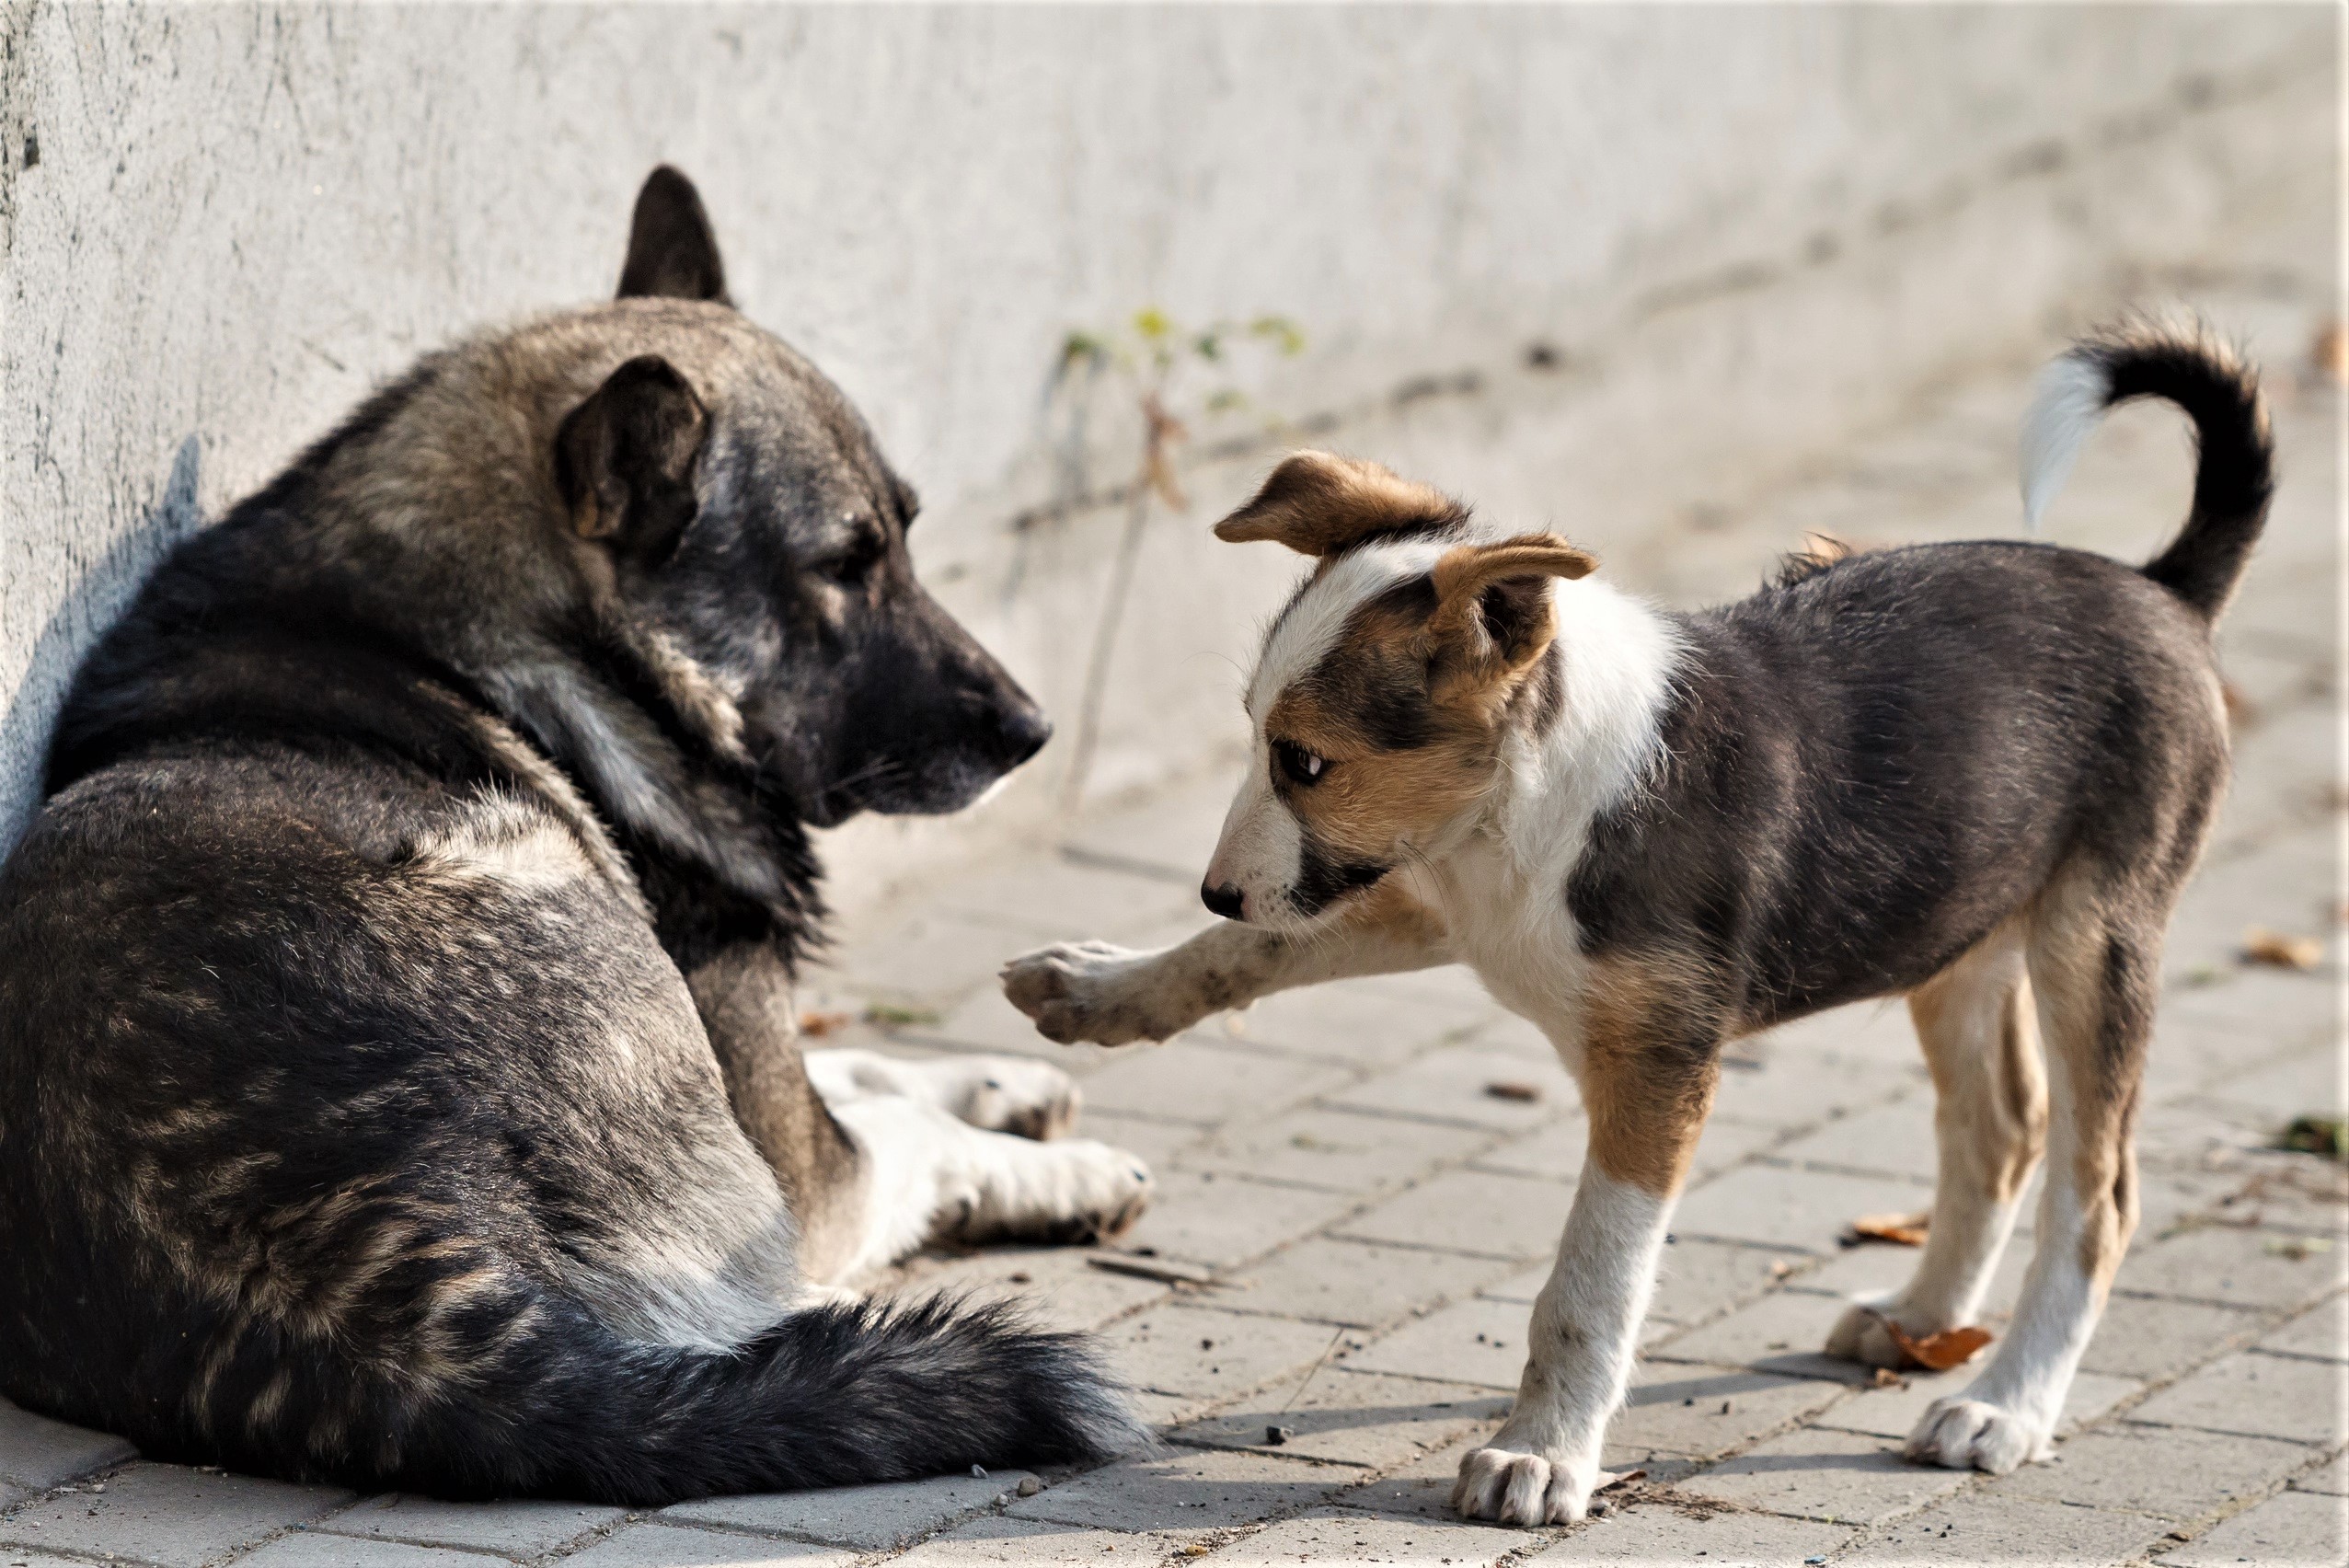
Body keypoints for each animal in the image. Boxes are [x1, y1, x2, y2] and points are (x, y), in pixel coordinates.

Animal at [1000, 324, 2264, 1523]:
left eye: (1305, 762)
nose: (1214, 886)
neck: (1526, 803)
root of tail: (2162, 588)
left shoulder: (1657, 1066)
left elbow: (1588, 1283)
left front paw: (1541, 1458)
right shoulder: (1438, 900)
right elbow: (1253, 948)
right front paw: (1098, 988)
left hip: (2094, 940)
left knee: (2097, 1194)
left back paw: (2003, 1404)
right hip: (1956, 923)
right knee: (2000, 1129)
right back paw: (1917, 1321)